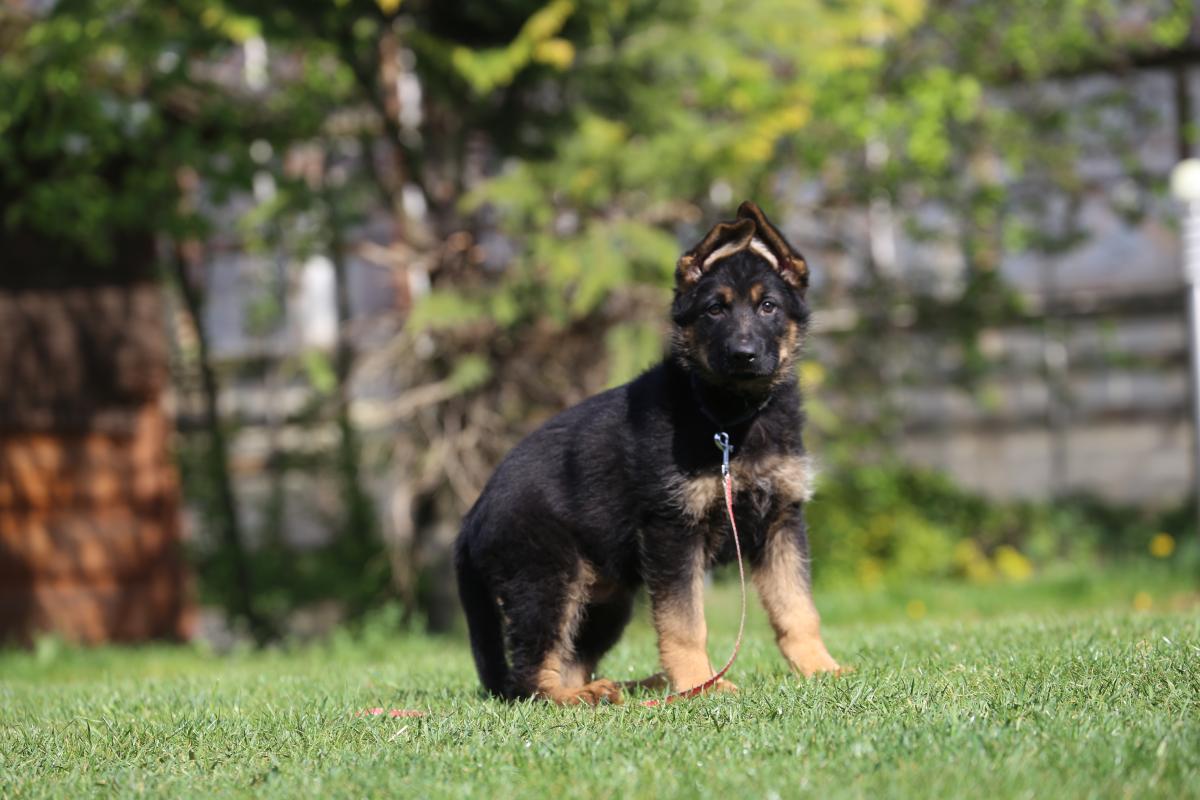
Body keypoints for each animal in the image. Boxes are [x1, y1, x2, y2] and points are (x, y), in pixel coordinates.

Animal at [454, 201, 840, 704]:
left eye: (768, 306)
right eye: (715, 309)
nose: (743, 355)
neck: (730, 417)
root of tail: (471, 516)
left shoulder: (781, 521)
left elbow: (798, 608)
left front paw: (822, 670)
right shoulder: (672, 530)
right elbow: (685, 622)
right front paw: (699, 684)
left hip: (604, 598)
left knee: (569, 662)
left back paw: (628, 685)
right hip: (546, 578)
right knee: (528, 678)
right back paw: (585, 697)